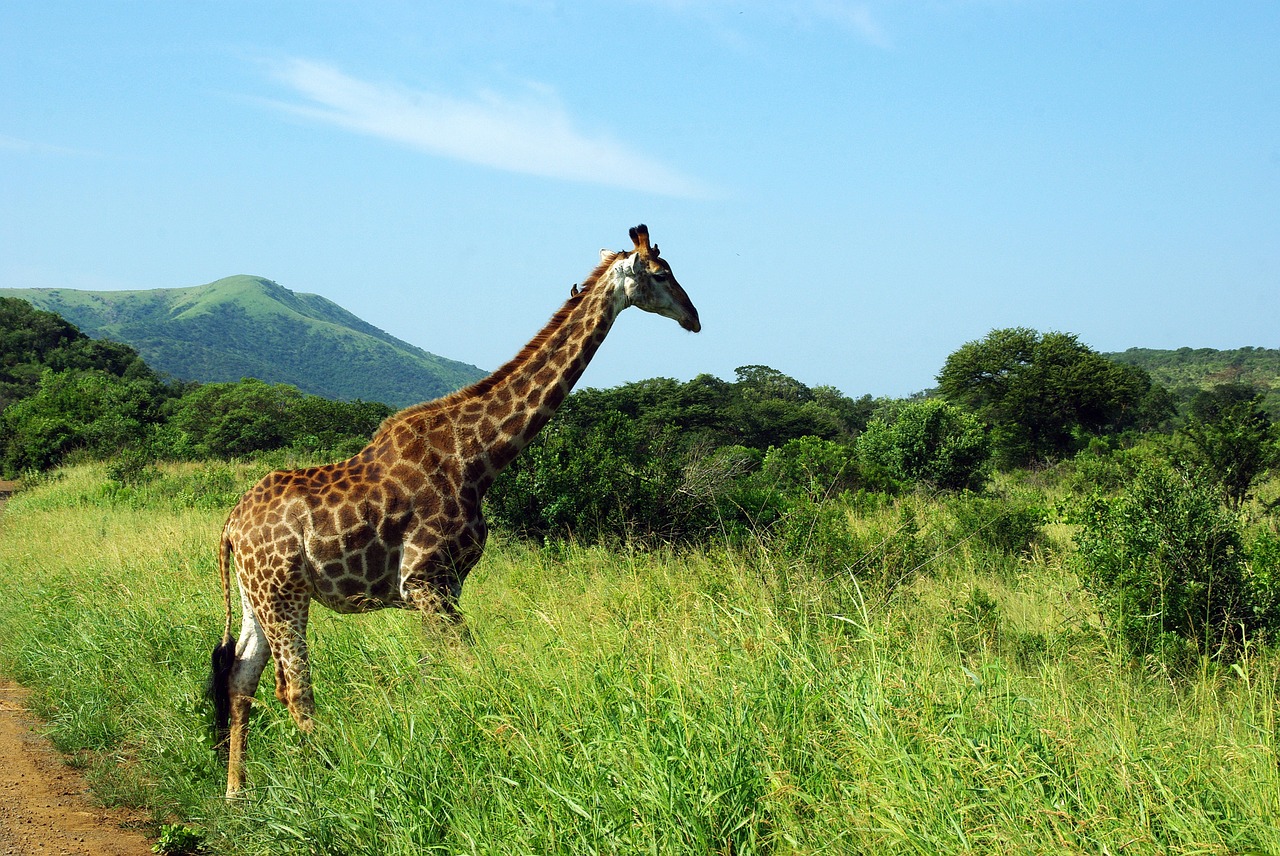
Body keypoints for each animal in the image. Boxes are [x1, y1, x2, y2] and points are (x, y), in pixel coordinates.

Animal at [215, 222, 706, 793]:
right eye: (662, 273)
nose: (695, 317)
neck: (479, 456)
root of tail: (230, 525)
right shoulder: (427, 580)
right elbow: (468, 668)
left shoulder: (444, 587)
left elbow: (440, 674)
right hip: (284, 594)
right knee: (294, 690)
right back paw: (327, 781)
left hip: (257, 596)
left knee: (241, 679)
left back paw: (237, 793)